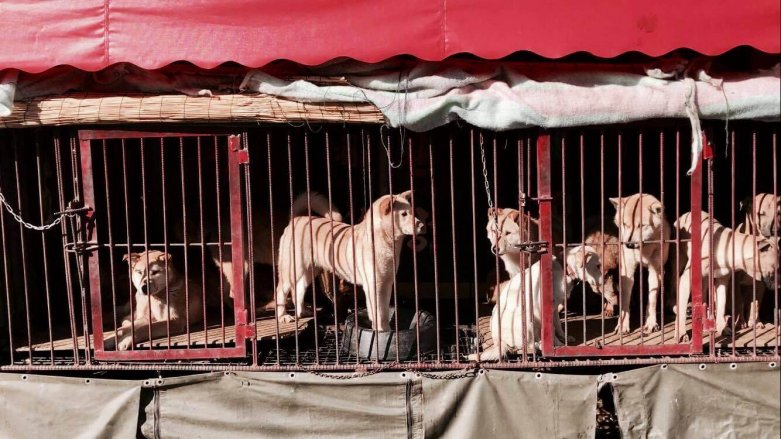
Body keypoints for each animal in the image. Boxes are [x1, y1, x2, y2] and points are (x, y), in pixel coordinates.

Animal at [470, 246, 604, 362]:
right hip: (526, 318)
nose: (604, 282)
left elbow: (558, 326)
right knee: (529, 344)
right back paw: (540, 345)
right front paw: (557, 345)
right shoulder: (543, 310)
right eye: (597, 266)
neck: (564, 269)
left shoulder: (554, 309)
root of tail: (499, 340)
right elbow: (552, 331)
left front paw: (564, 337)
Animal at [608, 194, 672, 336]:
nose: (629, 244)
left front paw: (651, 323)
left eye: (641, 226)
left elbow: (652, 299)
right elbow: (625, 300)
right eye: (625, 224)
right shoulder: (628, 270)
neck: (644, 250)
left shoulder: (656, 270)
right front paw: (622, 325)